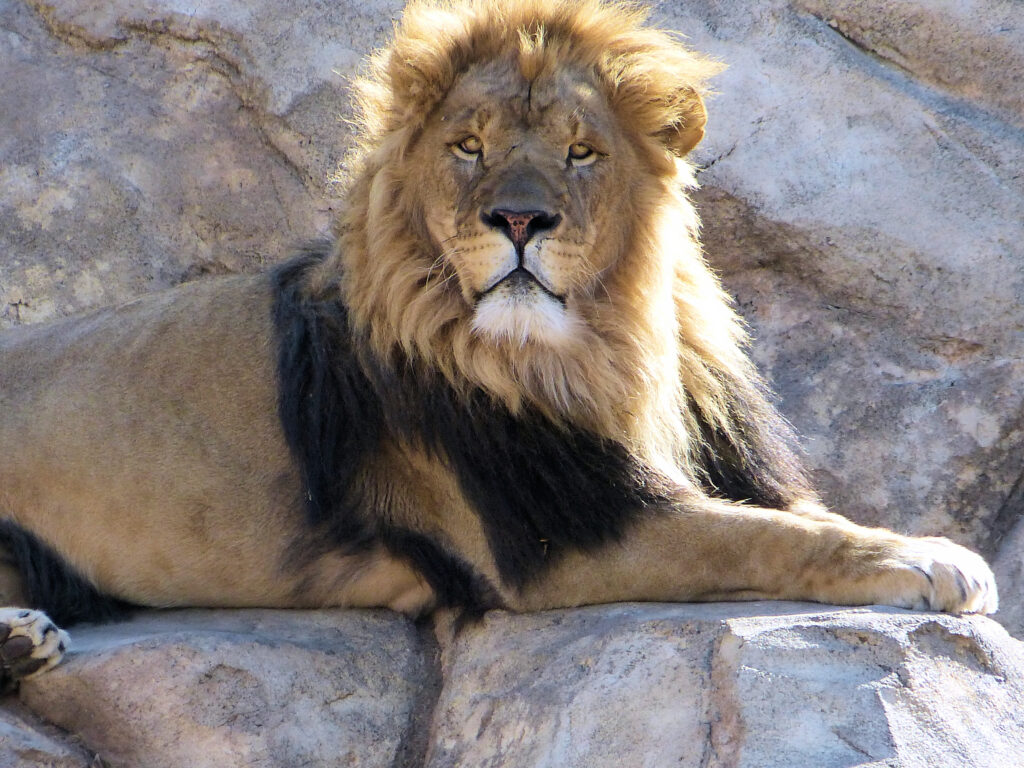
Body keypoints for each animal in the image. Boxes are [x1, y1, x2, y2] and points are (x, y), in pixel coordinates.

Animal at [0, 0, 997, 687]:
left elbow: (804, 518)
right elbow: (764, 540)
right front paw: (929, 558)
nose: (519, 219)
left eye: (582, 153)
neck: (601, 351)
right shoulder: (562, 538)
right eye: (469, 147)